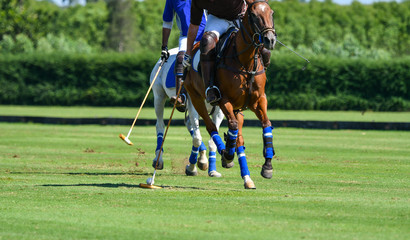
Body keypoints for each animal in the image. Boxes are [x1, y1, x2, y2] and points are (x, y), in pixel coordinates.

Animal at [151, 47, 224, 177]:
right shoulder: (194, 103)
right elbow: (197, 138)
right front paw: (192, 167)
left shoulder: (218, 112)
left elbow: (212, 138)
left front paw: (212, 170)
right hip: (158, 96)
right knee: (160, 125)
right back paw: (158, 160)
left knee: (189, 124)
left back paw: (202, 158)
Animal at [185, 0, 276, 188]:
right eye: (254, 15)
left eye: (271, 13)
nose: (270, 40)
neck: (245, 61)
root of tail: (194, 47)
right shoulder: (223, 100)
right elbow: (232, 126)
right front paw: (227, 154)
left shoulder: (259, 100)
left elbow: (266, 125)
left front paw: (267, 166)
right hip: (196, 98)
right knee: (212, 127)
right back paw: (223, 153)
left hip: (237, 107)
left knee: (239, 138)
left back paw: (246, 177)